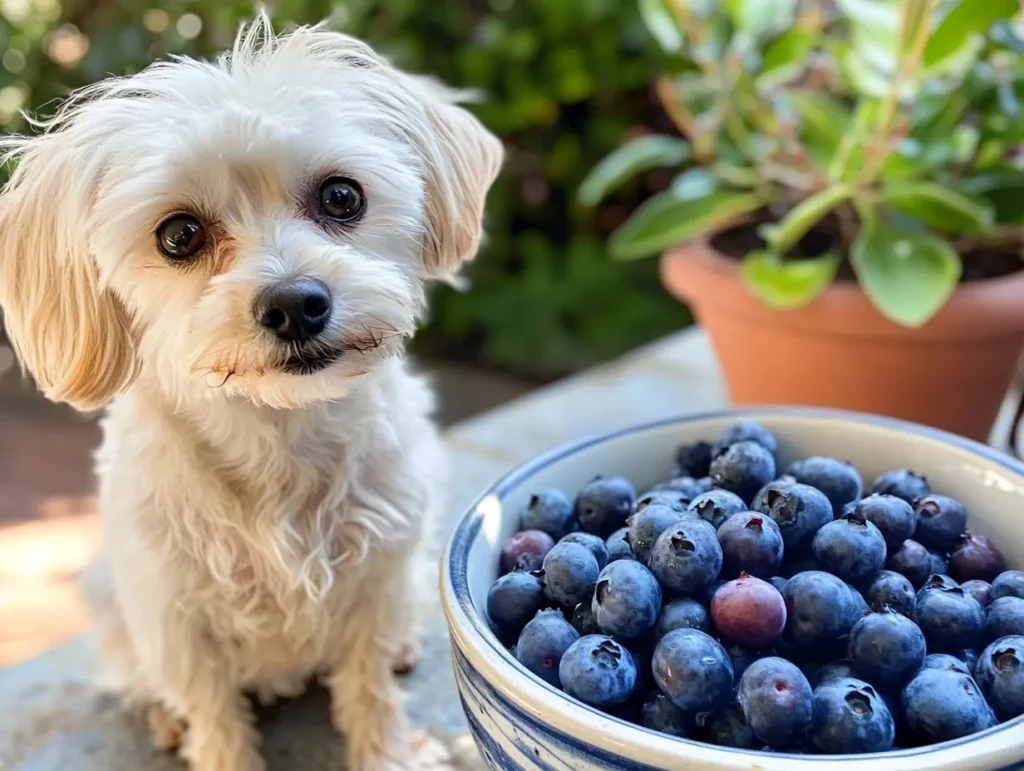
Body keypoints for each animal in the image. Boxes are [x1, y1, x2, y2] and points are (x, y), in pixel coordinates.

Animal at [0, 13, 503, 769]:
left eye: (342, 196)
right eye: (179, 234)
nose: (295, 304)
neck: (279, 434)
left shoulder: (377, 580)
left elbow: (370, 689)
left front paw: (388, 750)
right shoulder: (177, 619)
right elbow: (214, 715)